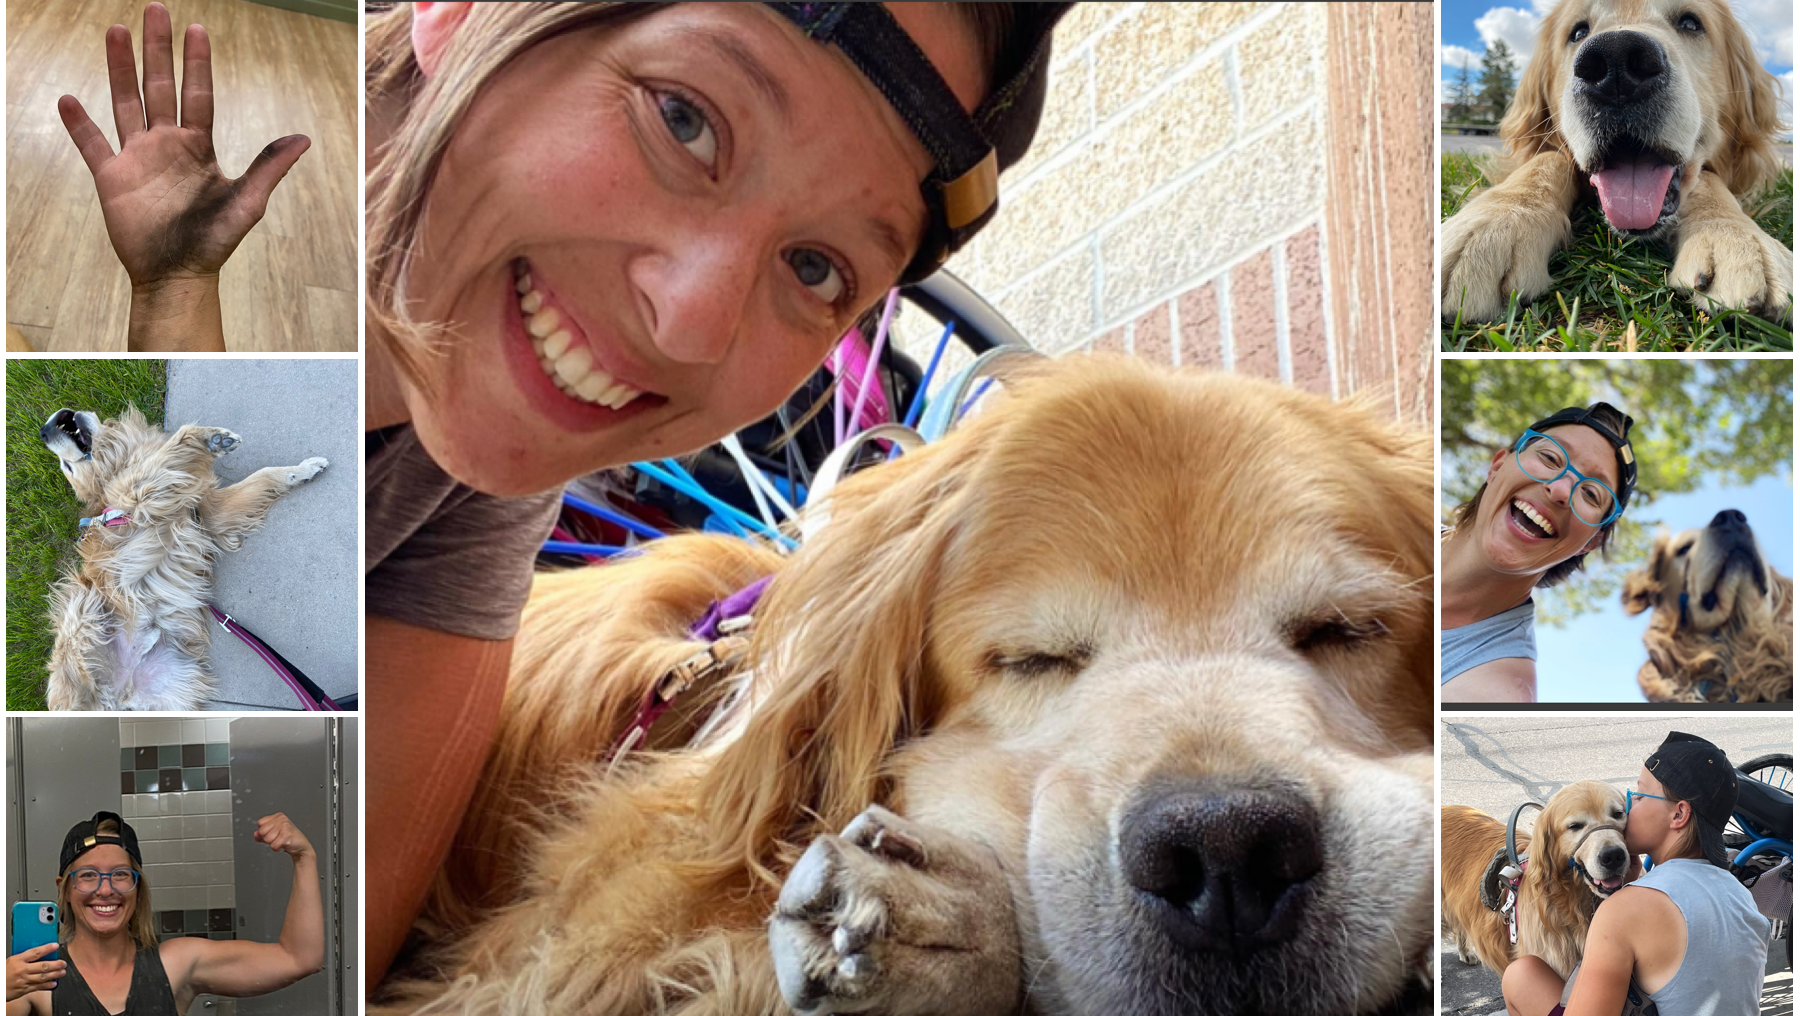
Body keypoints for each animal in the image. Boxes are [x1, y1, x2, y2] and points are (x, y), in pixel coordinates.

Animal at [38, 406, 327, 710]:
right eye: (67, 466)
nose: (43, 430)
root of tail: (119, 696)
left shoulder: (211, 515)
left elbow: (264, 475)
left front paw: (303, 469)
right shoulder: (138, 496)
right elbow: (169, 450)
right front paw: (212, 439)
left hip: (176, 686)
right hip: (81, 605)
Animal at [1441, 0, 1791, 323]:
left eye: (1691, 23)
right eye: (1578, 32)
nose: (1615, 62)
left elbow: (1709, 179)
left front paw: (1736, 236)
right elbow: (1546, 159)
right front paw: (1493, 225)